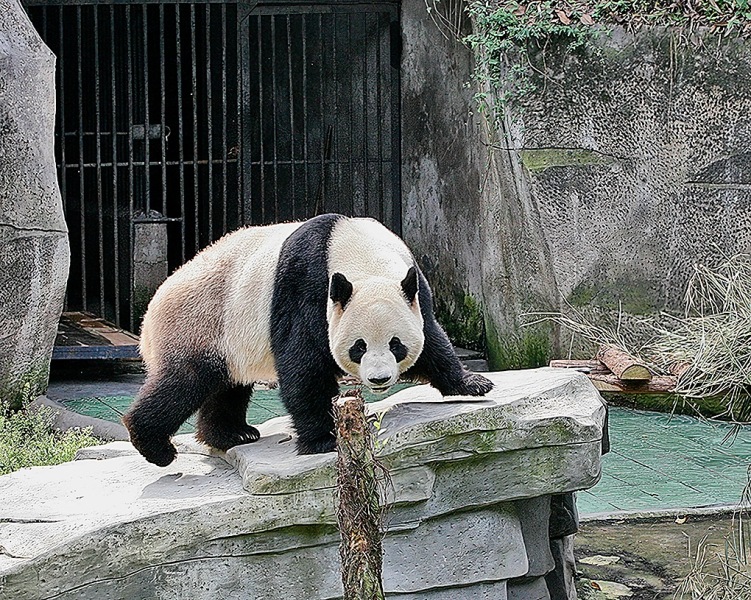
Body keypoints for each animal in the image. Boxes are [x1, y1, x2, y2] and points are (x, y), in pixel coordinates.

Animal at [122, 213, 494, 466]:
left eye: (395, 344)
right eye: (359, 347)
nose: (379, 379)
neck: (358, 252)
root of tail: (152, 307)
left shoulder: (412, 288)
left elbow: (432, 339)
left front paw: (473, 383)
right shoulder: (305, 287)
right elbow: (303, 365)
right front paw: (322, 439)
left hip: (227, 336)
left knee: (227, 387)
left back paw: (232, 434)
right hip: (199, 323)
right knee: (183, 383)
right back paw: (155, 445)